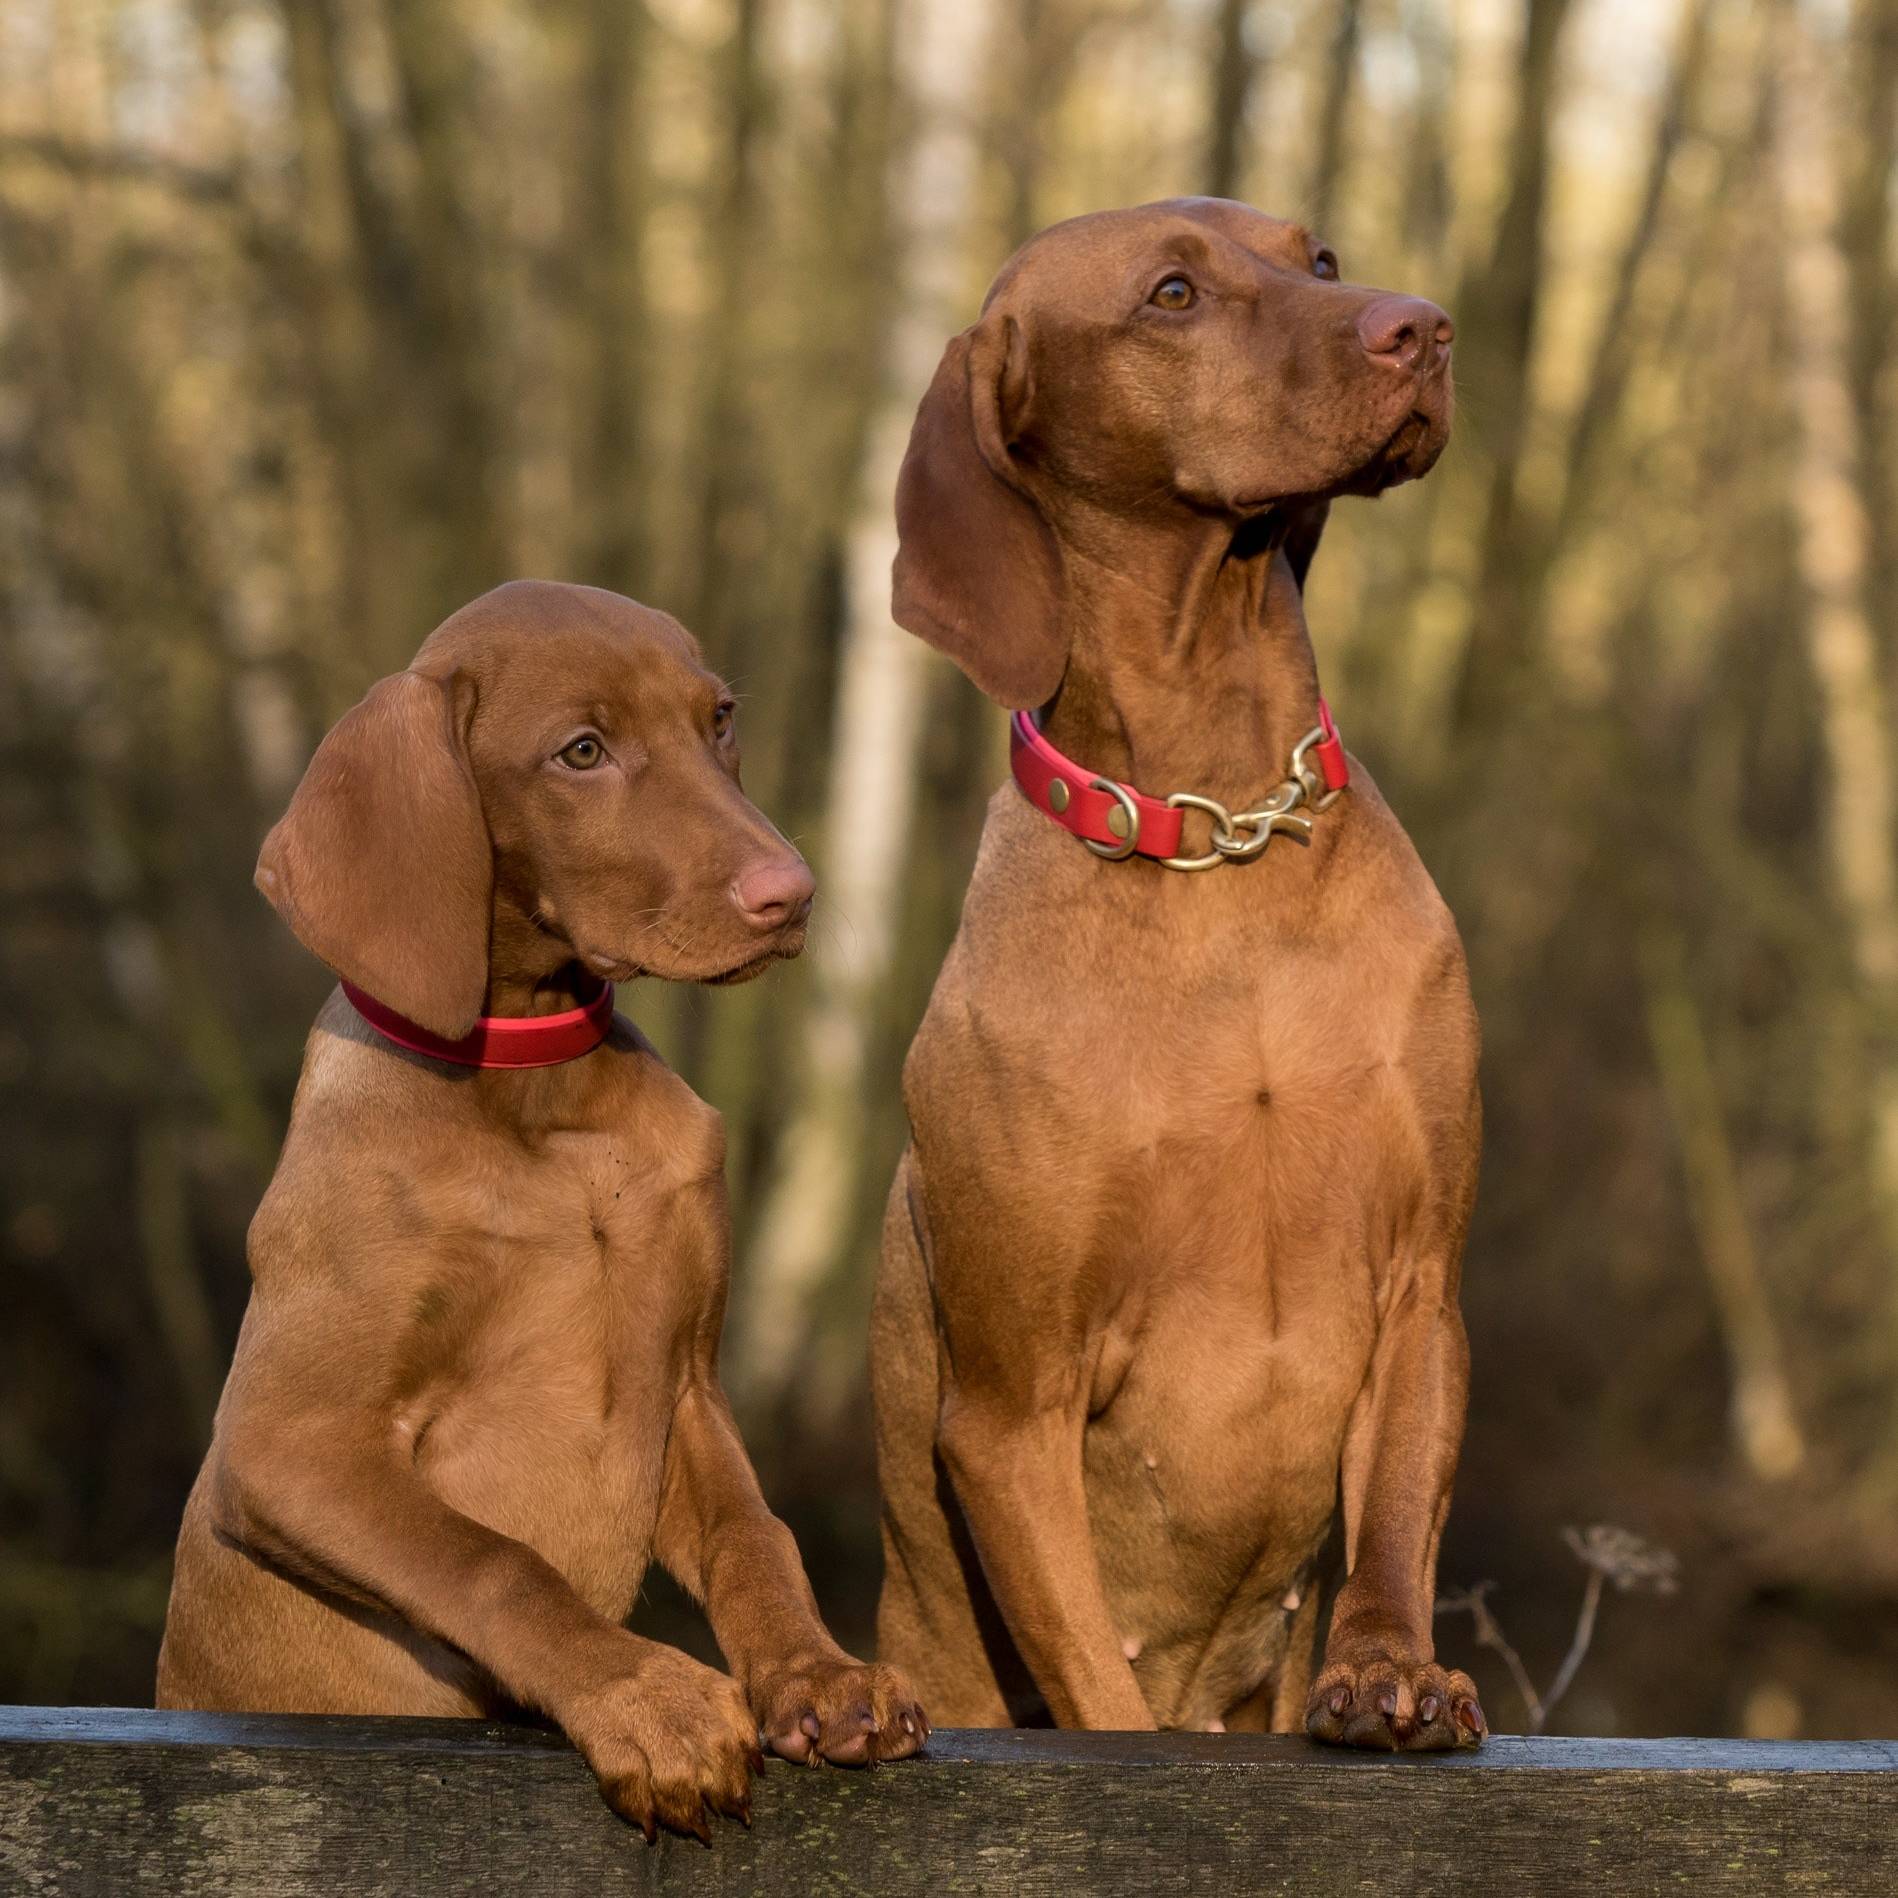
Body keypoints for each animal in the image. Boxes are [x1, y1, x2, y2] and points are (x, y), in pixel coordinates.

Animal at [161, 580, 926, 1837]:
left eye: (718, 719)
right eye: (580, 751)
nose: (791, 894)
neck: (539, 1100)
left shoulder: (687, 1386)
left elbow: (753, 1534)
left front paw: (816, 1671)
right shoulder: (284, 1445)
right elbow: (493, 1561)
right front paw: (647, 1696)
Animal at [869, 196, 1480, 1746]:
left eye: (1316, 259)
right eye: (1169, 296)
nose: (1421, 327)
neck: (1222, 836)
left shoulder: (1418, 1286)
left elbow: (1393, 1519)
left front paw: (1387, 1668)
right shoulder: (1010, 1405)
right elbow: (1098, 1687)